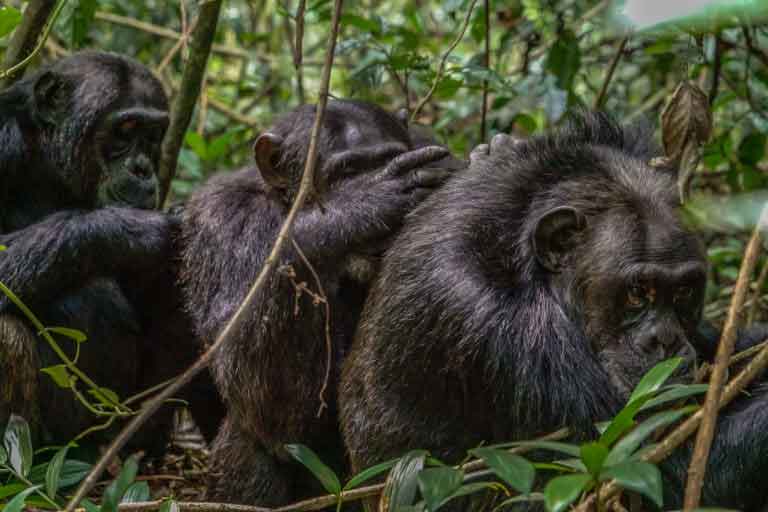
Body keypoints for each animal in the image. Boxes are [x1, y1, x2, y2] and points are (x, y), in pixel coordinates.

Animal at [180, 99, 462, 504]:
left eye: (387, 159)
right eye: (349, 173)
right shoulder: (221, 220)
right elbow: (251, 383)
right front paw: (359, 205)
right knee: (250, 440)